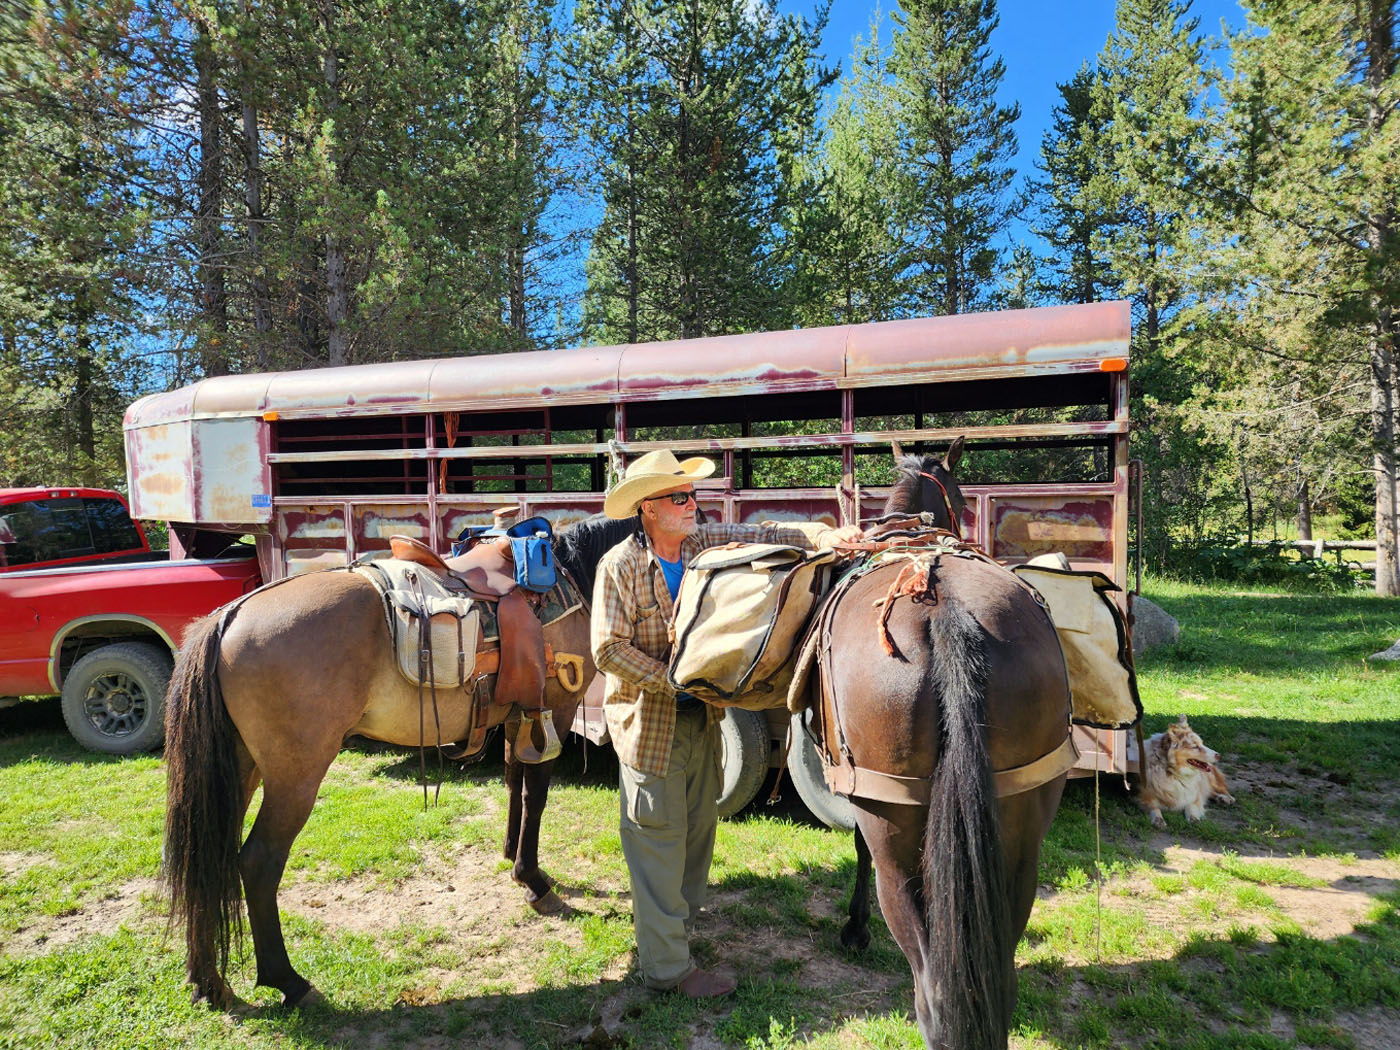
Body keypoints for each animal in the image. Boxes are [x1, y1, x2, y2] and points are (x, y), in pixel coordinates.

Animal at [162, 514, 635, 1009]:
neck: (573, 575)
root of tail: (228, 617)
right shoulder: (555, 710)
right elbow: (536, 795)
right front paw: (534, 881)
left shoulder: (517, 713)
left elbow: (513, 782)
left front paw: (511, 857)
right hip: (294, 777)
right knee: (257, 863)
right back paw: (288, 981)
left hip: (238, 770)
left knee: (207, 859)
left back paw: (210, 983)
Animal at [821, 438, 1073, 1050]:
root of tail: (946, 610)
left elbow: (857, 847)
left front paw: (855, 929)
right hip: (1023, 822)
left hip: (897, 838)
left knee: (931, 986)